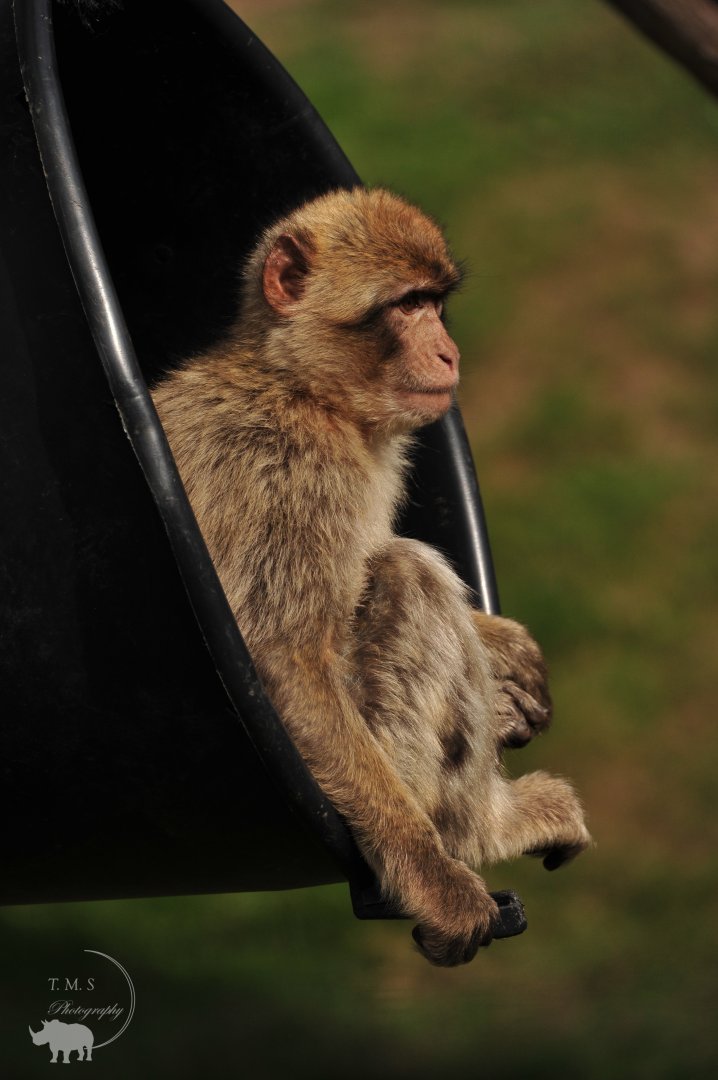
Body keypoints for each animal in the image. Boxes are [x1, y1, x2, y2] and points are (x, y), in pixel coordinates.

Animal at [151, 187, 591, 967]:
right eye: (407, 305)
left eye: (435, 303)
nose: (449, 351)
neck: (305, 389)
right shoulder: (292, 470)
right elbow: (286, 658)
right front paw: (433, 880)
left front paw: (506, 644)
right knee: (408, 575)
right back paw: (482, 830)